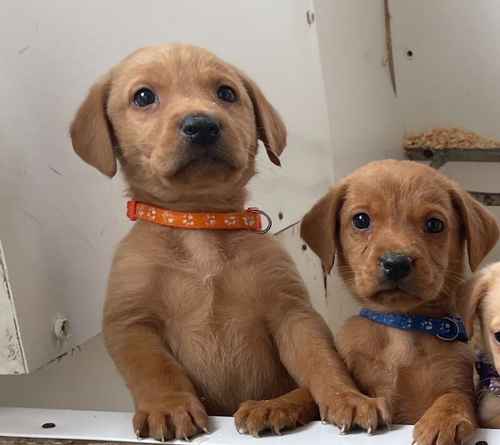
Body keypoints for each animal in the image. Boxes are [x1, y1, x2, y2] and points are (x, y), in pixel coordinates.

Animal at [69, 43, 386, 438]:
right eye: (143, 96)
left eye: (226, 93)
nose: (202, 125)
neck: (200, 225)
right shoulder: (132, 323)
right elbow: (156, 370)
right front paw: (168, 407)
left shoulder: (292, 312)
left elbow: (321, 361)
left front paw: (347, 398)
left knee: (302, 389)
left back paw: (274, 406)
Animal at [300, 160, 500, 444]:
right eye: (361, 220)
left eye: (434, 224)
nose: (396, 263)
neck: (401, 328)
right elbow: (308, 392)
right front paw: (349, 401)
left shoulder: (457, 380)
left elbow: (454, 397)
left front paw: (443, 420)